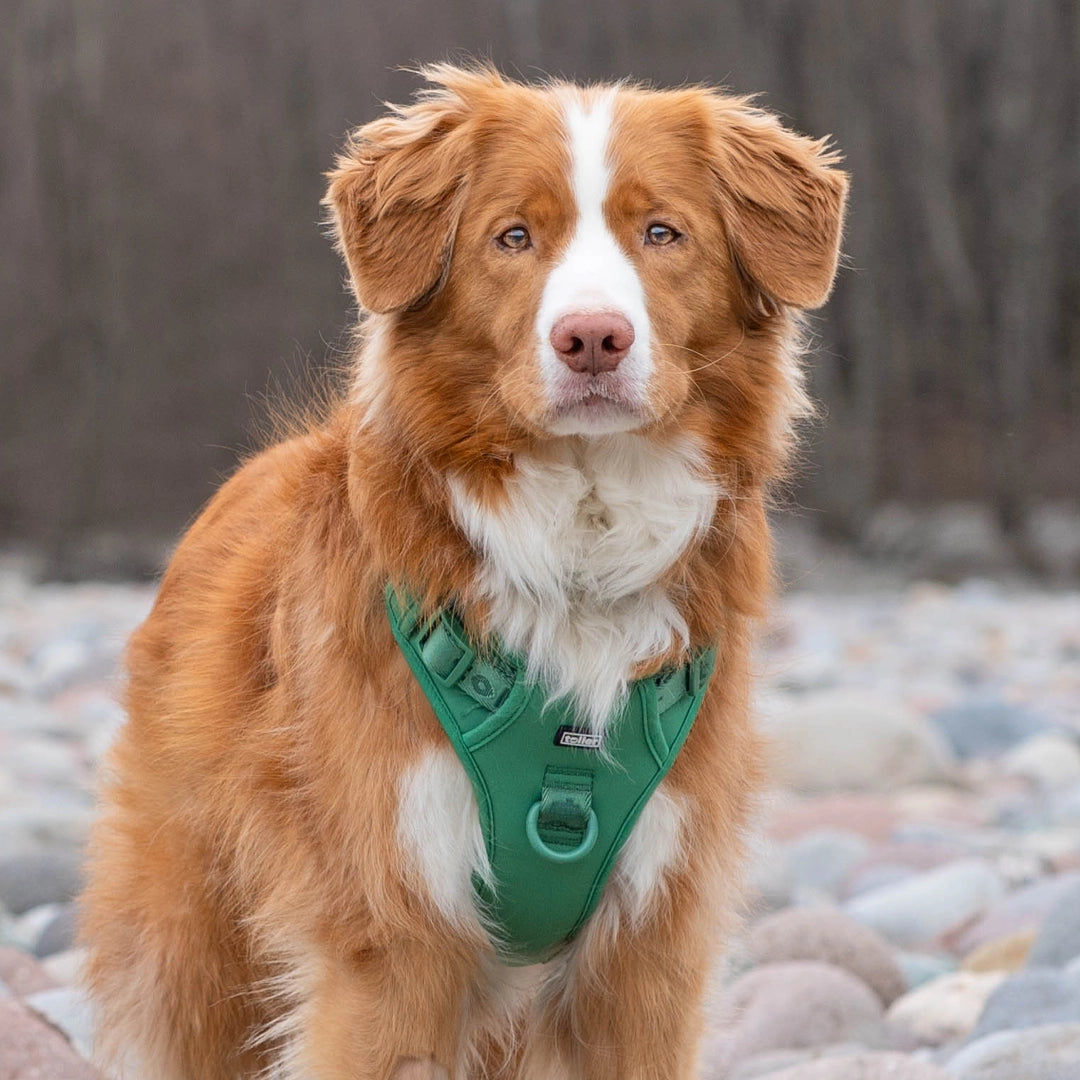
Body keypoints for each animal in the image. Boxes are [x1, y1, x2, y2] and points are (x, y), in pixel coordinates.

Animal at [79, 61, 846, 1080]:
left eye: (662, 233)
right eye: (513, 237)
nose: (592, 339)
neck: (577, 558)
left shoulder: (648, 947)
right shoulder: (394, 936)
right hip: (203, 938)